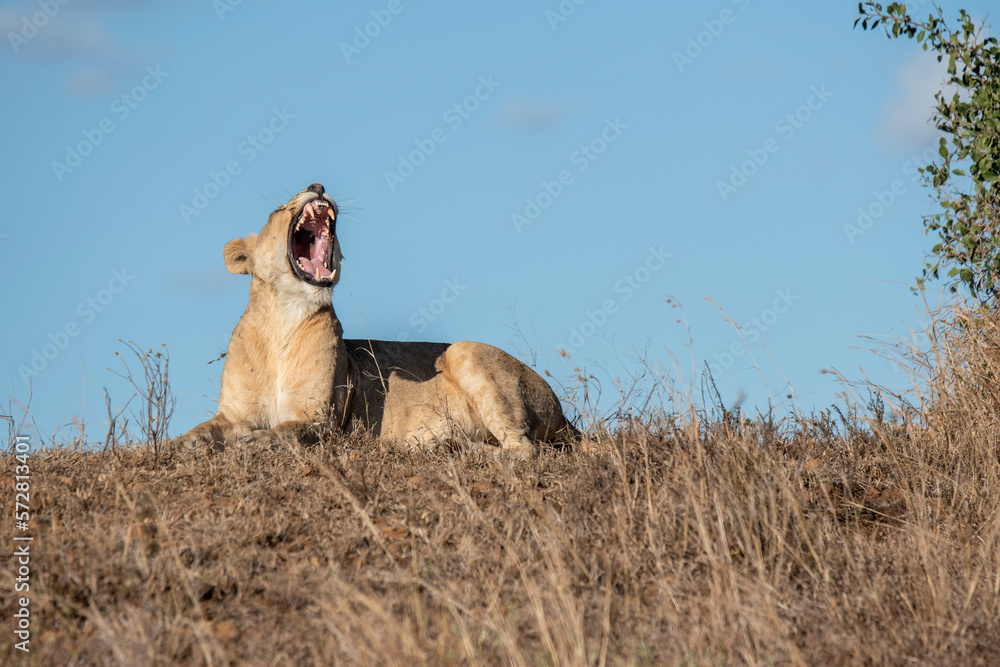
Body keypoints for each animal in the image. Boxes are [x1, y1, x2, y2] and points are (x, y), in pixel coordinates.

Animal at [171, 183, 577, 458]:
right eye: (278, 208)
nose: (318, 185)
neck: (282, 317)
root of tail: (565, 416)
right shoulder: (232, 413)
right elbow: (201, 430)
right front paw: (172, 445)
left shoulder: (321, 420)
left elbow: (284, 432)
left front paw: (252, 441)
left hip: (466, 352)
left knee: (523, 450)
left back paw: (452, 448)